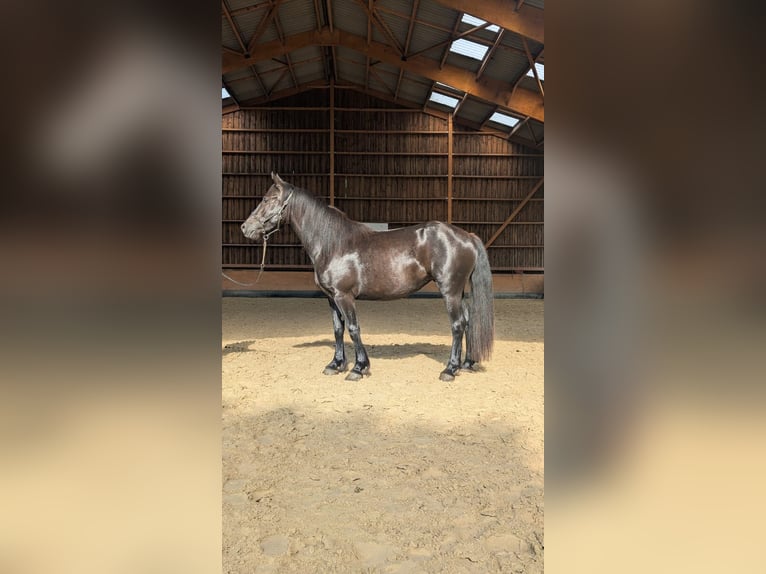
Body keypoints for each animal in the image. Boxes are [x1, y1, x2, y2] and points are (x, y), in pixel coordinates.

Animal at [241, 172, 494, 382]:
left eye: (268, 199)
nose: (245, 228)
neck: (334, 245)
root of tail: (467, 236)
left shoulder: (344, 297)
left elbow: (354, 328)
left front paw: (358, 368)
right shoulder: (331, 298)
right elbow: (338, 329)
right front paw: (335, 364)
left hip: (450, 290)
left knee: (457, 324)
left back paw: (450, 369)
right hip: (458, 292)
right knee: (468, 321)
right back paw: (467, 363)